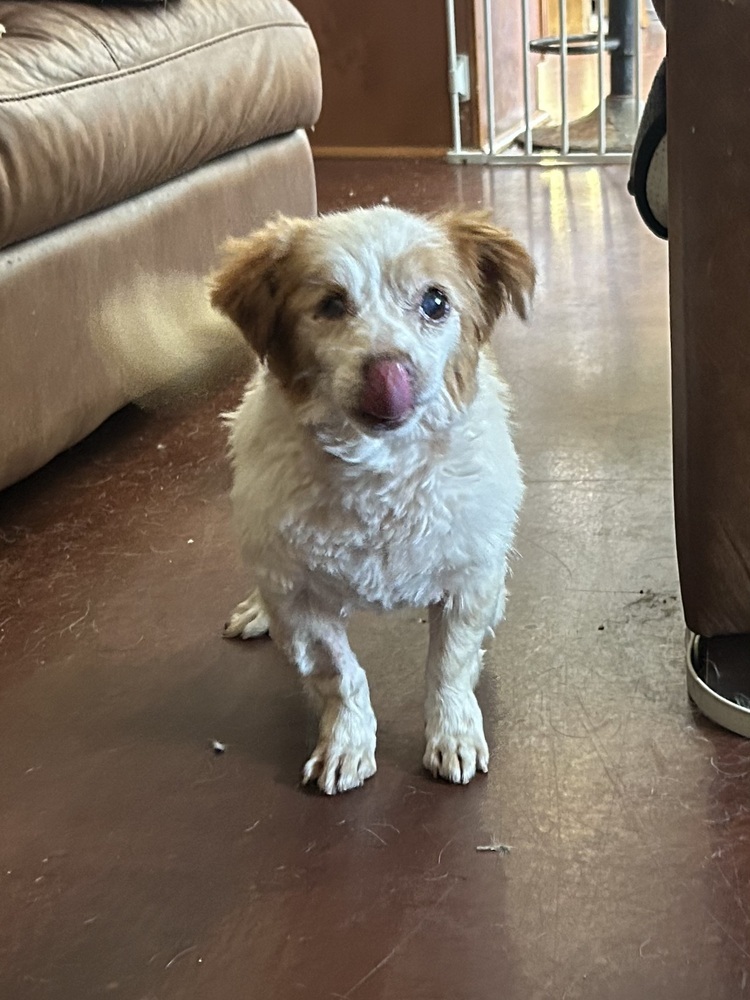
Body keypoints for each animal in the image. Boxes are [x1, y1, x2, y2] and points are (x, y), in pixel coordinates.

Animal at [210, 205, 536, 796]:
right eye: (330, 304)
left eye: (435, 302)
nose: (390, 373)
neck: (383, 471)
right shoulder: (303, 603)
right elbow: (340, 676)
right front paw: (346, 742)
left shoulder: (470, 582)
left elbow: (449, 667)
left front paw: (453, 731)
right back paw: (256, 608)